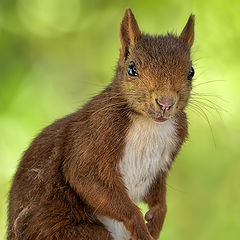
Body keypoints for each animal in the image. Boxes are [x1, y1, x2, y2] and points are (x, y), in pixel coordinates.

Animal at [7, 7, 195, 240]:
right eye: (132, 68)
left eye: (191, 72)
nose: (166, 103)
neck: (149, 124)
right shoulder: (96, 132)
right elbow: (84, 176)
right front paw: (140, 226)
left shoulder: (166, 156)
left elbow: (158, 193)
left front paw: (156, 218)